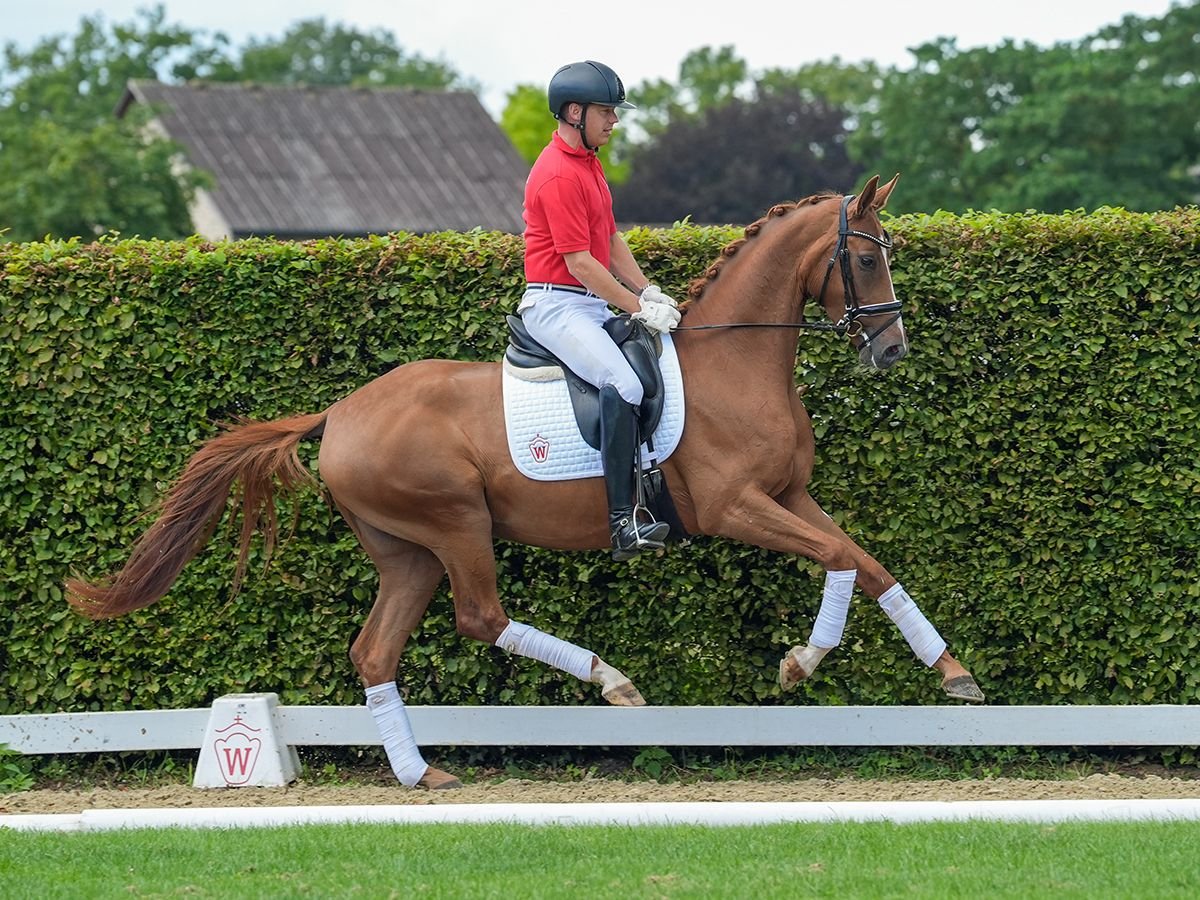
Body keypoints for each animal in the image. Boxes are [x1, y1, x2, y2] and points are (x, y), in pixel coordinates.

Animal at [68, 174, 984, 787]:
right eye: (863, 256)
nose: (891, 350)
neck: (737, 362)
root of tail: (340, 413)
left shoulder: (789, 497)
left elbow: (866, 563)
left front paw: (950, 674)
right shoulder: (737, 507)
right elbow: (837, 558)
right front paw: (804, 663)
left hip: (408, 551)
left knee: (375, 649)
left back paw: (421, 774)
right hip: (454, 525)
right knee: (480, 616)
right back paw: (612, 683)